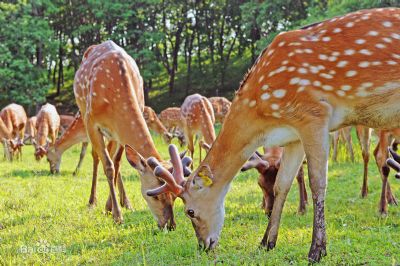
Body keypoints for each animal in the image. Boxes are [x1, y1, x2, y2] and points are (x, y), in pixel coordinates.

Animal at [73, 40, 191, 228]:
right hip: (85, 114)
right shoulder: (91, 122)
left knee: (114, 159)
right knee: (97, 157)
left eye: (174, 197)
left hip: (112, 135)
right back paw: (92, 201)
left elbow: (117, 164)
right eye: (155, 195)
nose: (170, 225)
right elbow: (108, 166)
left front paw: (110, 208)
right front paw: (117, 216)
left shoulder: (119, 133)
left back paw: (125, 202)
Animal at [143, 7, 400, 262]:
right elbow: (281, 184)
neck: (265, 118)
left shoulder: (315, 114)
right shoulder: (294, 133)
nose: (205, 245)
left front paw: (317, 250)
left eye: (190, 211)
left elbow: (317, 182)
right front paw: (266, 243)